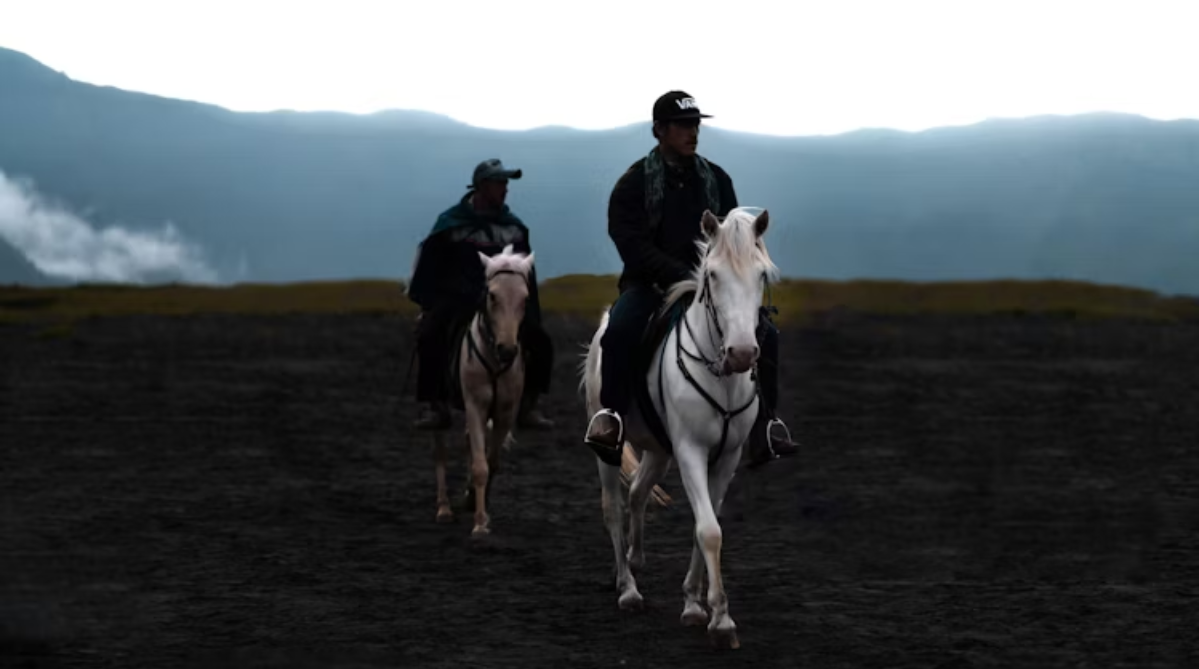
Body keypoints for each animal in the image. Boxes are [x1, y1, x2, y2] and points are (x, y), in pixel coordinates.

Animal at [431, 244, 534, 536]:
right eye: (492, 295)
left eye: (525, 298)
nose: (507, 350)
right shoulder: (475, 406)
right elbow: (480, 466)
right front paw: (479, 524)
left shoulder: (504, 412)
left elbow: (492, 461)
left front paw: (479, 507)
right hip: (438, 405)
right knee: (440, 449)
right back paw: (444, 509)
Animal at [579, 207, 780, 650]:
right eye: (713, 275)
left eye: (761, 274)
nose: (742, 354)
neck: (722, 377)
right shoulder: (690, 451)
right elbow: (709, 530)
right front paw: (721, 621)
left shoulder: (726, 458)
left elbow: (704, 526)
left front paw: (694, 604)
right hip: (609, 447)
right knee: (612, 507)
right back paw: (628, 589)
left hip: (658, 449)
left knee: (637, 492)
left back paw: (635, 560)